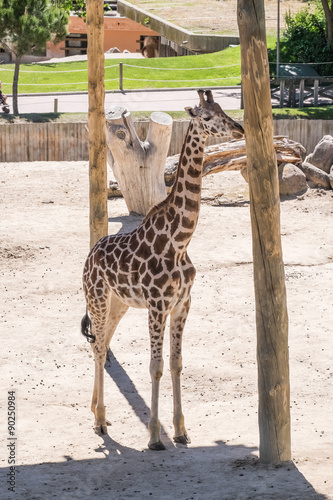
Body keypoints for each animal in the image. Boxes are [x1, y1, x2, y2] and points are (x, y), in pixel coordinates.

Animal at [80, 89, 241, 450]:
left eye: (223, 110)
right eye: (207, 117)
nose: (239, 128)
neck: (179, 240)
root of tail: (89, 257)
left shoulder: (182, 304)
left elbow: (177, 364)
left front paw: (181, 431)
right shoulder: (157, 305)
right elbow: (155, 366)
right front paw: (155, 437)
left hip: (119, 303)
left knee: (103, 344)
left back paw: (97, 413)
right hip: (98, 300)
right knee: (97, 346)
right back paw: (98, 421)